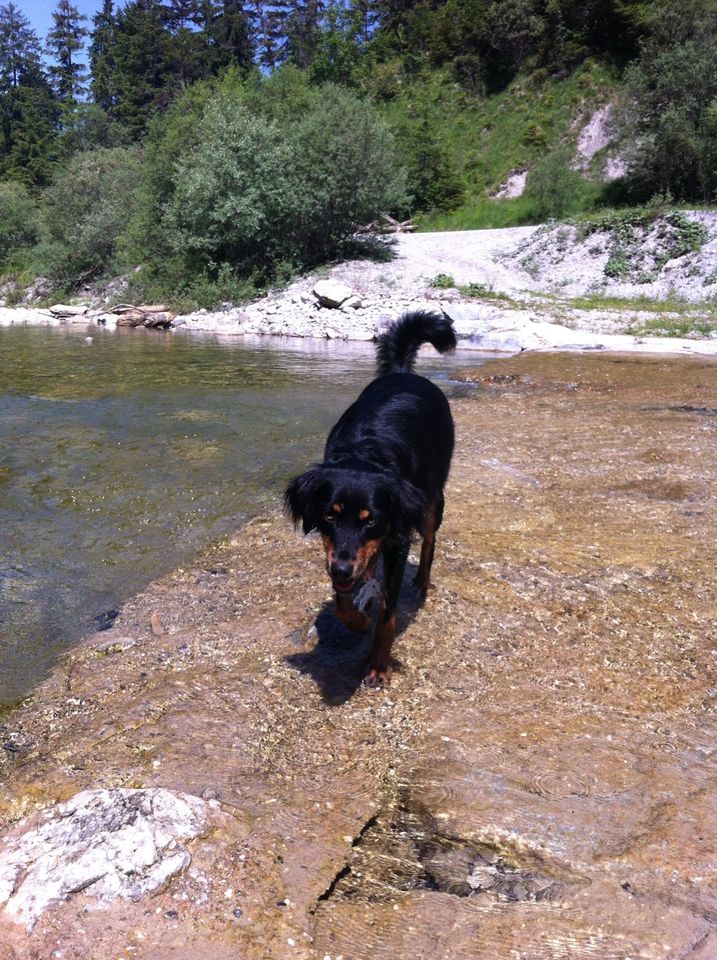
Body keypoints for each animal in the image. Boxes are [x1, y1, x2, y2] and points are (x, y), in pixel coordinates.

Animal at [284, 310, 456, 684]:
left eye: (371, 519)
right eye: (329, 515)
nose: (342, 569)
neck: (365, 454)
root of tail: (404, 374)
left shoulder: (397, 537)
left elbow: (388, 613)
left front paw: (379, 662)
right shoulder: (341, 553)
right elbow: (343, 600)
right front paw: (359, 620)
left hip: (431, 499)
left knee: (429, 541)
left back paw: (422, 582)